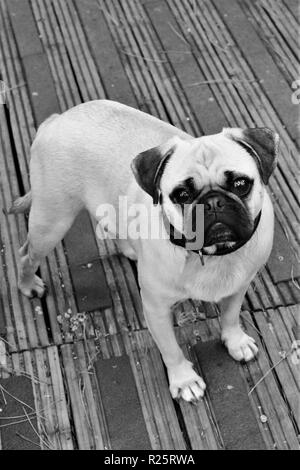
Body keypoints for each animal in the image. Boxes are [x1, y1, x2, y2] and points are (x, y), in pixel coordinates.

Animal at [11, 99, 278, 400]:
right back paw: (28, 285)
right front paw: (184, 380)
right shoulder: (156, 310)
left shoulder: (238, 287)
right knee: (26, 254)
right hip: (52, 221)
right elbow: (171, 349)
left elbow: (231, 317)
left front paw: (235, 342)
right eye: (182, 195)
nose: (213, 202)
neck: (212, 254)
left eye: (241, 184)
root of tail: (57, 119)